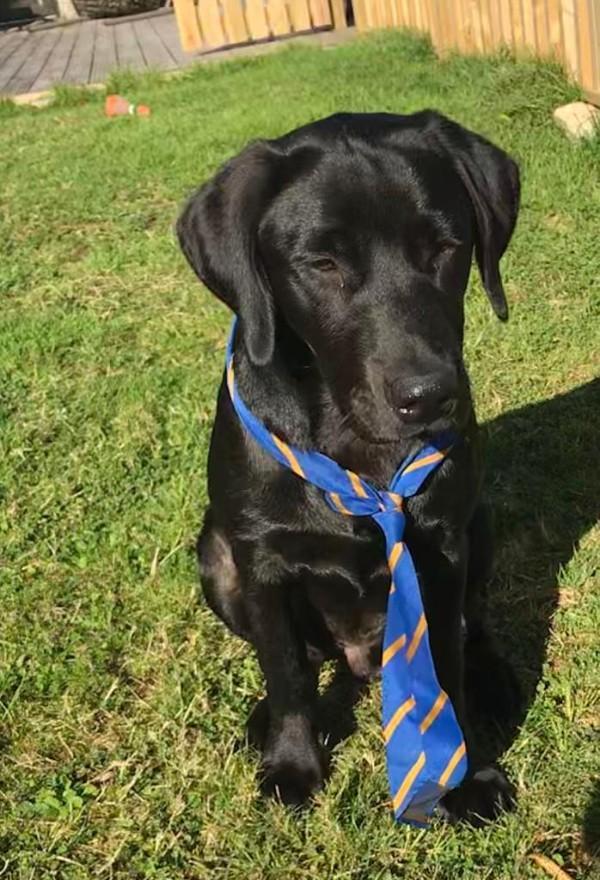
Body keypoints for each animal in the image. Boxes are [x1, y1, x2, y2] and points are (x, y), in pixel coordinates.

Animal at [177, 111, 520, 824]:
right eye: (323, 263)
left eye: (445, 246)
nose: (429, 395)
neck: (354, 441)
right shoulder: (260, 561)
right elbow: (286, 670)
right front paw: (291, 764)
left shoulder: (439, 548)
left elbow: (445, 663)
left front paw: (467, 773)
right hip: (215, 556)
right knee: (301, 660)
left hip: (480, 525)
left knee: (475, 628)